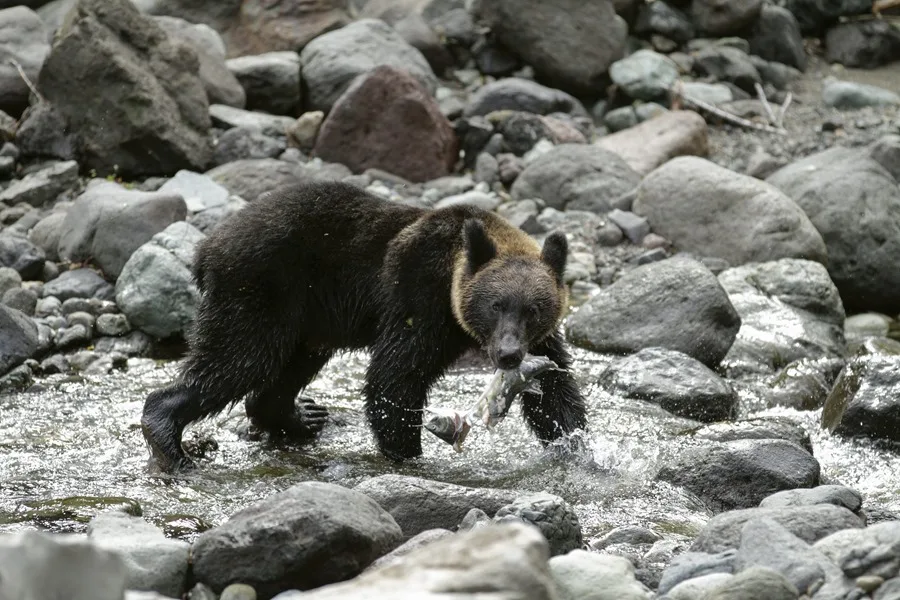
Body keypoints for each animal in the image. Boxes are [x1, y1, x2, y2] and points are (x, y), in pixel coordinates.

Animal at [140, 180, 587, 471]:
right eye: (495, 305)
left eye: (534, 309)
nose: (508, 354)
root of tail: (206, 248)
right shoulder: (418, 297)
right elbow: (395, 376)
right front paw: (408, 454)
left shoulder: (540, 341)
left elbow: (556, 390)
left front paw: (575, 446)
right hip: (260, 290)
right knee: (238, 360)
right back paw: (170, 442)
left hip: (307, 319)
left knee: (285, 368)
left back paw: (303, 415)